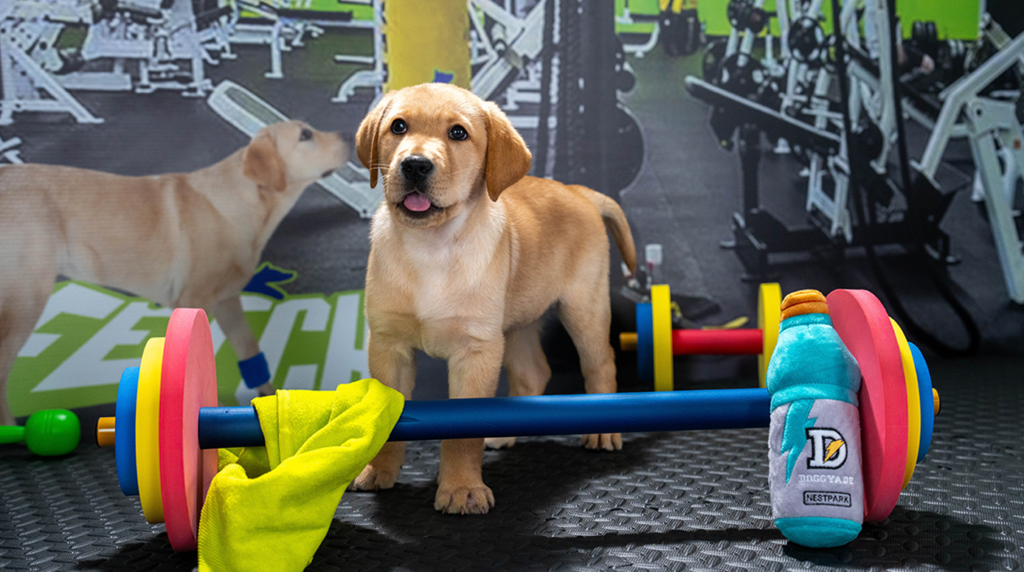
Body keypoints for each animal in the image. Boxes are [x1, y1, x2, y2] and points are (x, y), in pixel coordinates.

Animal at [0, 120, 348, 425]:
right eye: (305, 135)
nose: (347, 134)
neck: (246, 201)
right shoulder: (194, 299)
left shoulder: (227, 301)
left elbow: (251, 353)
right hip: (25, 295)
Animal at [356, 83, 634, 515]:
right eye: (398, 127)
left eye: (458, 133)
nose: (415, 165)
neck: (431, 246)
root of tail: (577, 191)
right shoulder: (389, 345)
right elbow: (389, 421)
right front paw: (379, 471)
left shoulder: (476, 349)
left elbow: (462, 434)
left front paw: (462, 489)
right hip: (515, 323)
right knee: (533, 372)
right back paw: (503, 432)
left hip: (583, 307)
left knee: (601, 363)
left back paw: (603, 431)